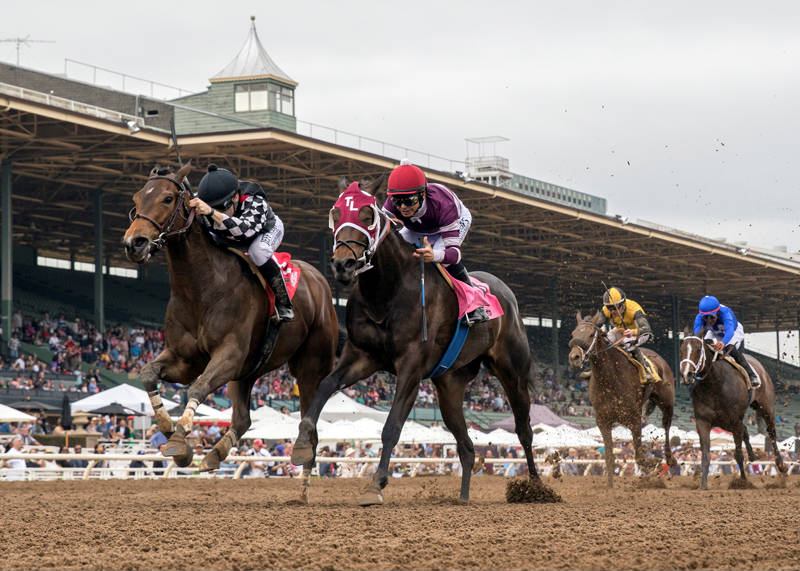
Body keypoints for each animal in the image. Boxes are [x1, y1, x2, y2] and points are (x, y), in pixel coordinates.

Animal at [122, 164, 338, 496]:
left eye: (168, 198)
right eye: (136, 198)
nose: (135, 243)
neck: (201, 288)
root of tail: (320, 281)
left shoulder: (229, 355)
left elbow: (198, 387)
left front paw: (179, 439)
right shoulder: (184, 359)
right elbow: (147, 374)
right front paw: (171, 431)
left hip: (310, 363)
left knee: (309, 415)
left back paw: (302, 471)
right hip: (247, 372)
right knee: (242, 419)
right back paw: (215, 454)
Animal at [290, 164, 552, 504]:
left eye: (367, 214)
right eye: (335, 213)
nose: (343, 264)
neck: (386, 292)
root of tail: (507, 294)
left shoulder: (412, 366)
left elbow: (391, 426)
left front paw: (376, 484)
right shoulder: (362, 357)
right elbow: (324, 386)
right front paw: (301, 444)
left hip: (512, 373)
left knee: (524, 429)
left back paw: (535, 486)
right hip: (449, 385)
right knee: (467, 447)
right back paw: (463, 497)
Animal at [568, 312, 676, 488]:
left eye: (591, 334)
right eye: (573, 334)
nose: (574, 357)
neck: (610, 379)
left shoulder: (634, 418)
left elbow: (640, 456)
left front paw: (654, 465)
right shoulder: (603, 421)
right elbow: (609, 457)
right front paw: (610, 486)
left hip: (667, 402)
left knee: (666, 425)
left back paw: (669, 458)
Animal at [680, 336, 784, 492]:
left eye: (698, 350)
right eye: (682, 349)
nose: (687, 374)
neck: (715, 384)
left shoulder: (735, 420)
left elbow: (738, 454)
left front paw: (743, 482)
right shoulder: (703, 421)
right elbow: (705, 455)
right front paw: (703, 484)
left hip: (766, 407)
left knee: (771, 432)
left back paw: (780, 464)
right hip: (726, 423)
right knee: (745, 430)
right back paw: (752, 455)